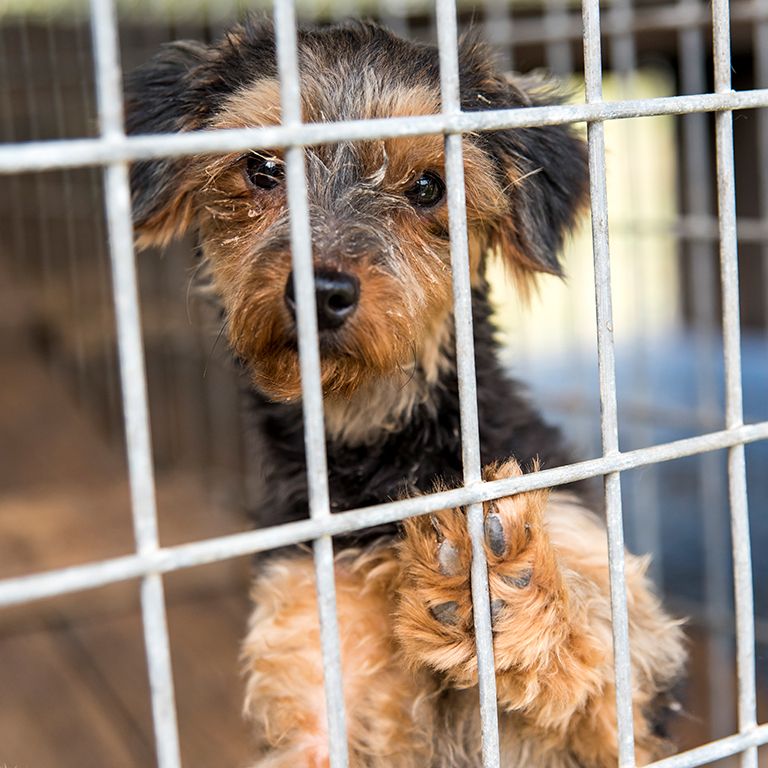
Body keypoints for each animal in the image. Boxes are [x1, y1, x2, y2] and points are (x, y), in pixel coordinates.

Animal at [129, 18, 688, 768]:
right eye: (261, 169)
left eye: (428, 186)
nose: (320, 290)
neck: (382, 450)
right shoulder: (310, 672)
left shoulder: (632, 696)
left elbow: (597, 651)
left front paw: (493, 579)